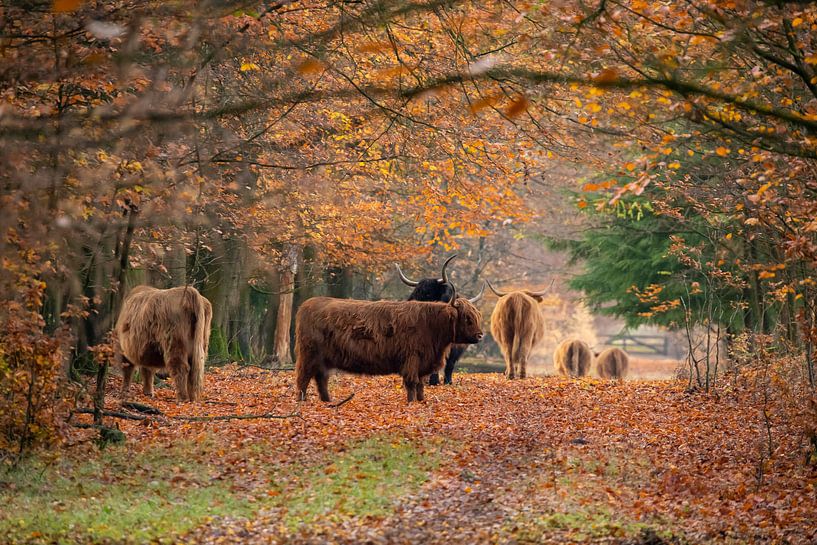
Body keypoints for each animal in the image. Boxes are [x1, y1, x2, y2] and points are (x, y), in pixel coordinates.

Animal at [294, 288, 482, 400]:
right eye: (467, 318)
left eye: (477, 316)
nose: (480, 335)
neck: (431, 324)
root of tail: (306, 304)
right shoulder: (412, 359)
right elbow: (412, 383)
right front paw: (411, 403)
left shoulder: (424, 362)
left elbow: (421, 384)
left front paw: (421, 401)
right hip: (309, 354)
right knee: (303, 377)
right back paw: (302, 401)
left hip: (323, 359)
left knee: (321, 378)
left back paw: (327, 401)